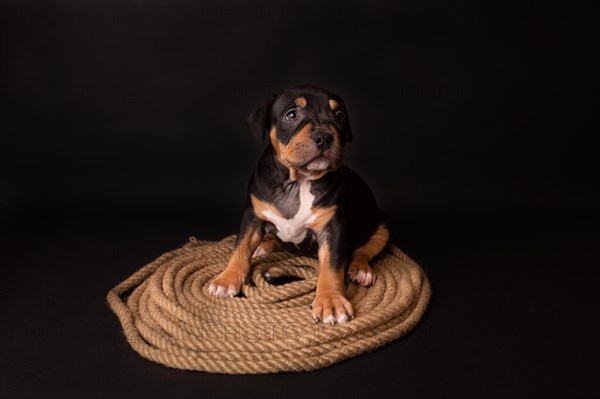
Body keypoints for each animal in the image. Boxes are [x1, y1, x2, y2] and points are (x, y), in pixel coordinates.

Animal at [210, 84, 390, 324]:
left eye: (339, 117)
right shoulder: (253, 214)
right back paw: (264, 246)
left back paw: (361, 269)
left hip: (382, 225)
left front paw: (331, 301)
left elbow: (332, 265)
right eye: (292, 115)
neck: (299, 180)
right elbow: (241, 246)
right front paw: (227, 278)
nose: (324, 137)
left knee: (364, 250)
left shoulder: (333, 227)